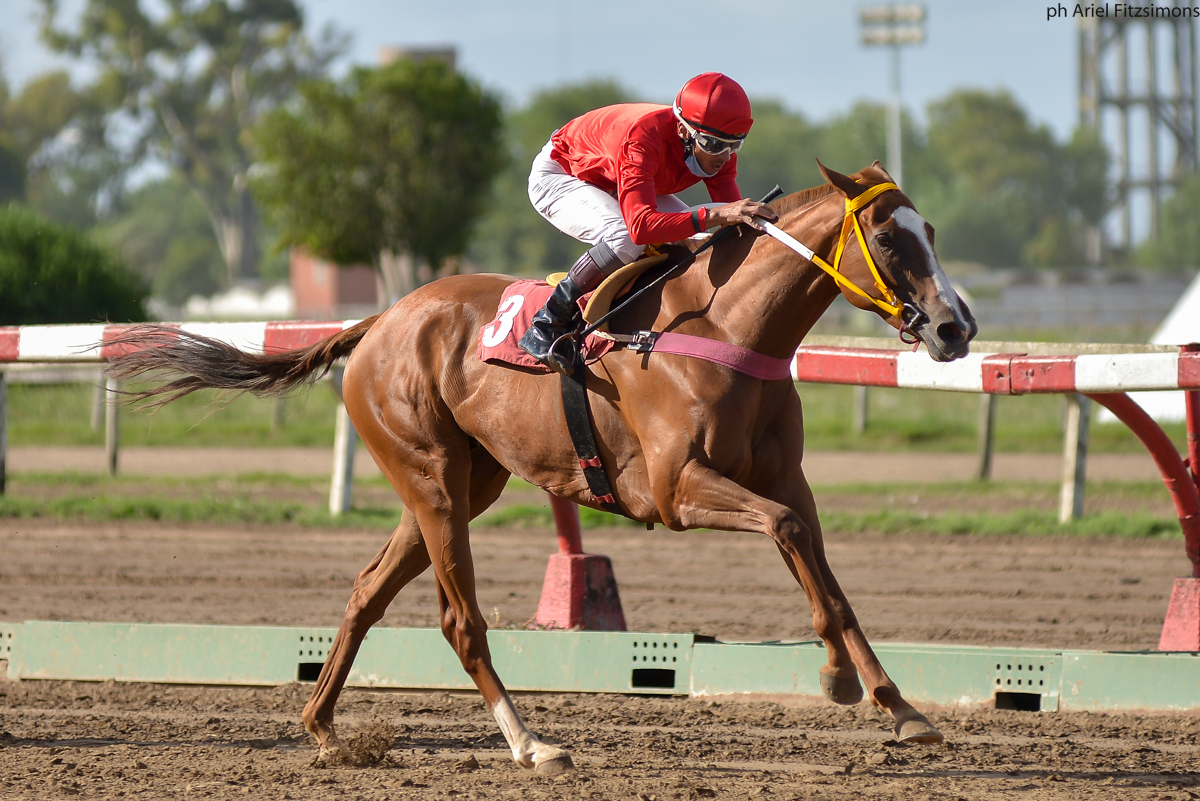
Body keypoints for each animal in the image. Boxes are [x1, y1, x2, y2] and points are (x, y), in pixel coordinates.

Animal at [105, 162, 977, 774]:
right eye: (891, 240)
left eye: (934, 228)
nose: (954, 327)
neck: (726, 328)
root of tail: (381, 319)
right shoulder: (676, 490)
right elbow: (792, 535)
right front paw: (841, 680)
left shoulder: (784, 478)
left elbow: (821, 567)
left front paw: (895, 702)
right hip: (431, 481)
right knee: (460, 620)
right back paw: (531, 744)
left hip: (459, 485)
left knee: (366, 590)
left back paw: (323, 726)